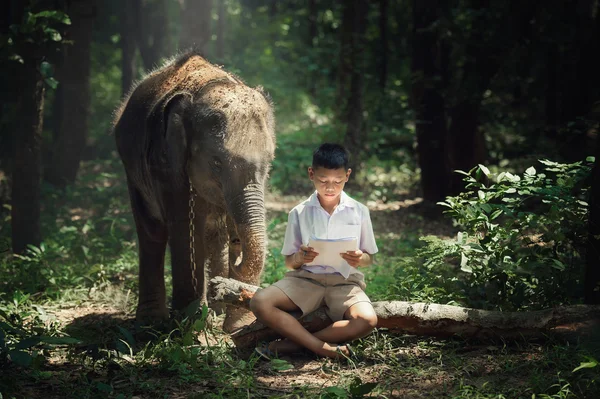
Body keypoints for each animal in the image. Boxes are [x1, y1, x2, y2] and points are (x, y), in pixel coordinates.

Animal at [113, 53, 276, 334]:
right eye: (217, 163)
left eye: (269, 163)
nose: (238, 253)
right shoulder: (166, 164)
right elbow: (184, 229)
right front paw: (190, 325)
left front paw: (236, 326)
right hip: (131, 169)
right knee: (152, 233)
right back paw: (151, 321)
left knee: (214, 234)